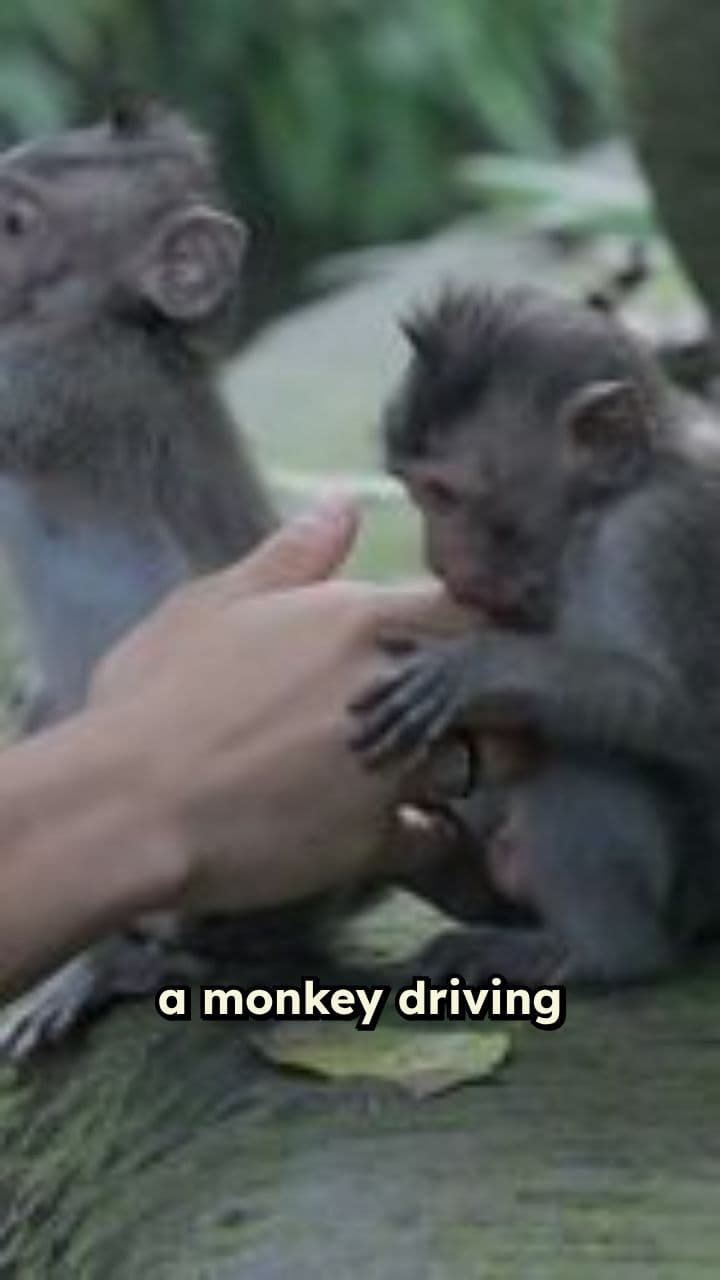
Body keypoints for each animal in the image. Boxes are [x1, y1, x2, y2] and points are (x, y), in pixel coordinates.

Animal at [349, 284, 720, 988]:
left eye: (445, 494)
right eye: (415, 492)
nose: (437, 561)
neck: (594, 515)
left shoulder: (647, 539)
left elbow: (680, 710)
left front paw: (479, 666)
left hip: (689, 901)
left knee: (574, 745)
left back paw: (602, 954)